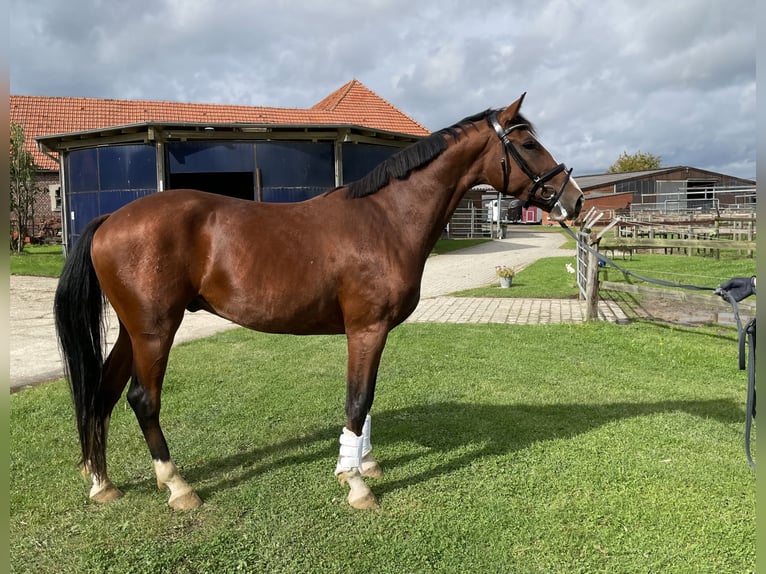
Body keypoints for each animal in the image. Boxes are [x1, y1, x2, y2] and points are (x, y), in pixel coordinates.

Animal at [54, 94, 584, 512]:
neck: (386, 218)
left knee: (102, 392)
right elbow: (357, 400)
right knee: (142, 399)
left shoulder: (372, 333)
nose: (574, 201)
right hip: (155, 330)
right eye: (529, 145)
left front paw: (365, 462)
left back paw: (102, 483)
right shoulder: (366, 328)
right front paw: (355, 484)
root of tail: (110, 219)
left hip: (134, 330)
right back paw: (178, 487)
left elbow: (367, 401)